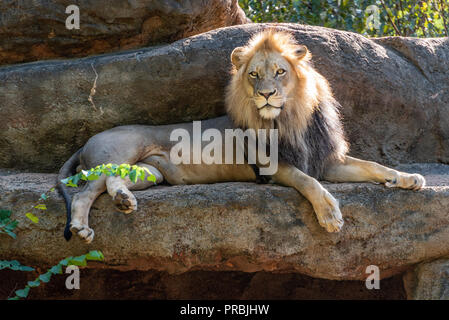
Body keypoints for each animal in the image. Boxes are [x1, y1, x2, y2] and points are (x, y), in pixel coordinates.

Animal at [57, 30, 426, 242]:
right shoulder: (272, 166)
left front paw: (407, 178)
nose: (265, 95)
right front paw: (330, 215)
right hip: (119, 154)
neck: (291, 118)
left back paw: (124, 200)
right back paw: (81, 227)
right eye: (254, 75)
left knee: (114, 183)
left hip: (149, 172)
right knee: (87, 191)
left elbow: (372, 166)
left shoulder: (326, 160)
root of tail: (85, 142)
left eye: (280, 71)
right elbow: (307, 182)